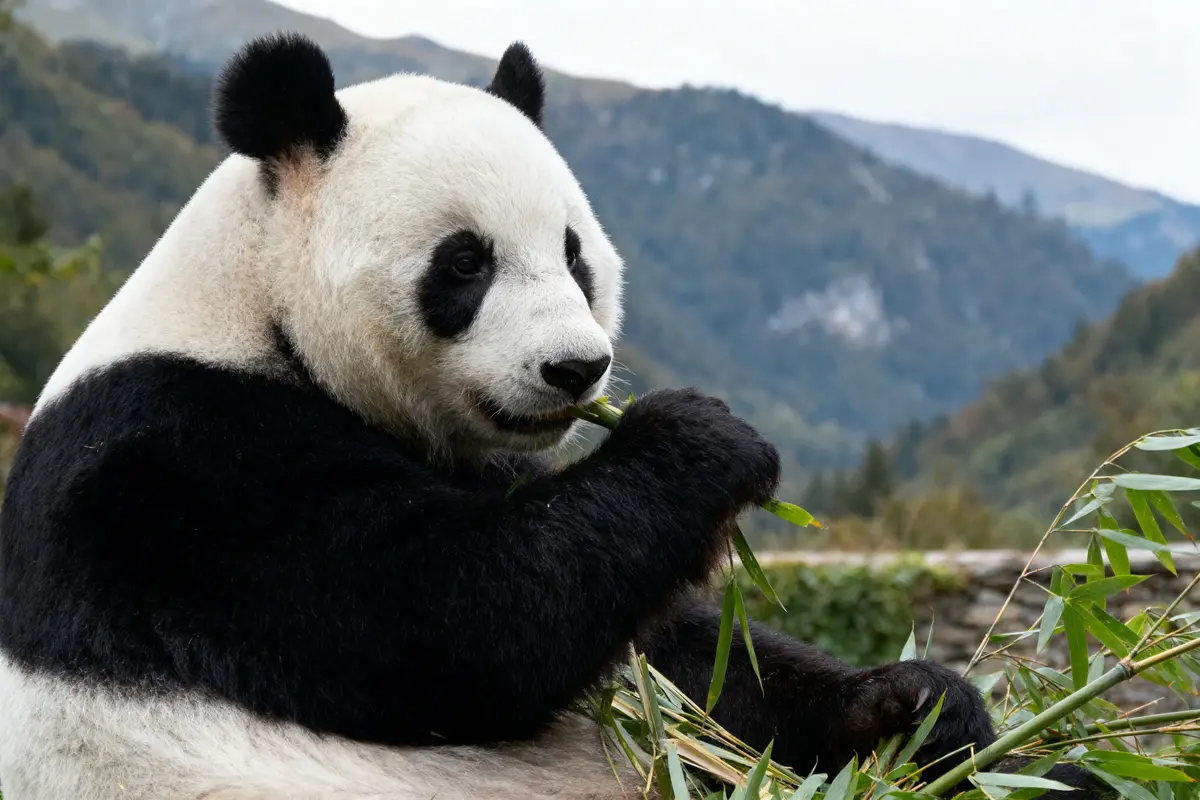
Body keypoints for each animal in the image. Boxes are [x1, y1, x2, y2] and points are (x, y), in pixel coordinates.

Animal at [0, 32, 1107, 800]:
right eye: (464, 262)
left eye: (575, 253)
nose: (579, 368)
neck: (261, 313)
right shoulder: (179, 472)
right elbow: (450, 622)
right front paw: (704, 439)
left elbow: (684, 660)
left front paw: (910, 708)